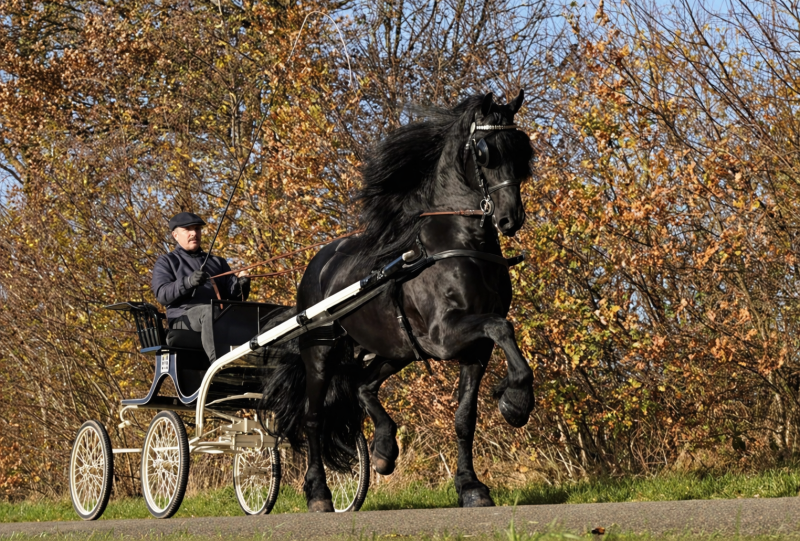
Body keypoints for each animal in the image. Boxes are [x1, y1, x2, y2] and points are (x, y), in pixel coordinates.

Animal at [261, 91, 535, 511]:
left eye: (522, 149)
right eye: (485, 151)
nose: (510, 218)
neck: (460, 244)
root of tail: (318, 265)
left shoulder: (474, 348)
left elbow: (465, 417)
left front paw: (471, 487)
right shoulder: (444, 336)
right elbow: (501, 326)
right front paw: (517, 401)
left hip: (396, 348)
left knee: (363, 386)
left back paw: (384, 449)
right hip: (320, 350)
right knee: (313, 418)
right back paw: (319, 493)